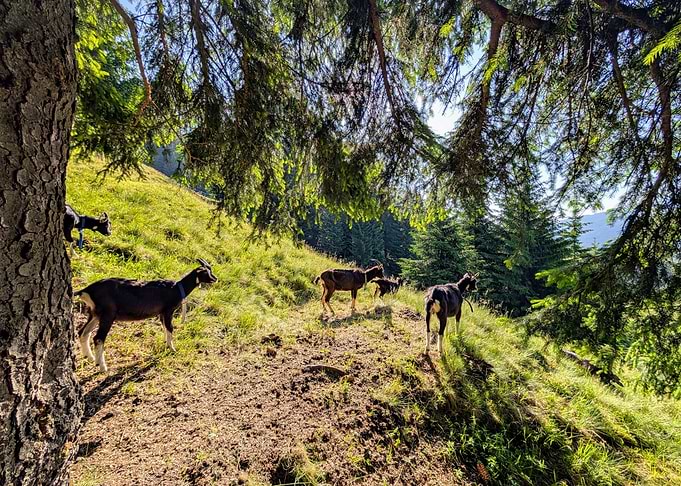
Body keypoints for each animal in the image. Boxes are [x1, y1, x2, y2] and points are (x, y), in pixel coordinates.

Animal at [74, 259, 217, 372]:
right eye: (207, 272)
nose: (215, 278)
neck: (177, 288)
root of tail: (87, 290)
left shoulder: (161, 313)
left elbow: (165, 328)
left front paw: (166, 344)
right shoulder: (168, 310)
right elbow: (170, 328)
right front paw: (172, 349)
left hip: (95, 313)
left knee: (83, 332)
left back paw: (90, 357)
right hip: (107, 314)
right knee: (98, 338)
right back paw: (103, 367)